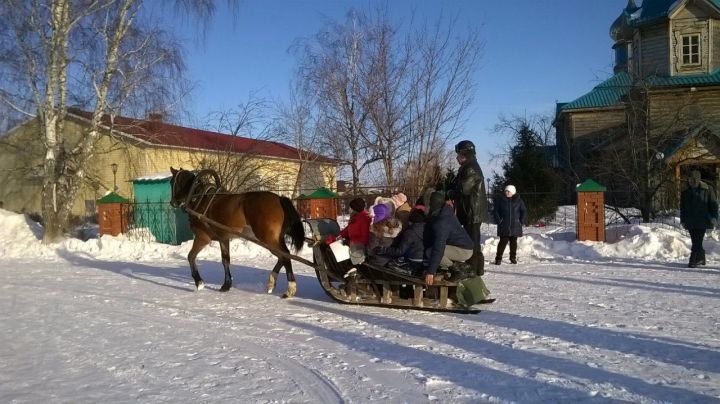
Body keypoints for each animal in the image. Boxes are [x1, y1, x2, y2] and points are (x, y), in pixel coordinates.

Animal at [170, 167, 306, 296]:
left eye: (172, 182)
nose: (172, 202)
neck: (201, 200)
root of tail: (279, 198)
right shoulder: (224, 238)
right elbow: (225, 260)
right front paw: (226, 285)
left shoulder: (202, 237)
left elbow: (191, 256)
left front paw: (199, 283)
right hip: (271, 239)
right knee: (282, 256)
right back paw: (271, 283)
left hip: (267, 238)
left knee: (285, 255)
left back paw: (290, 288)